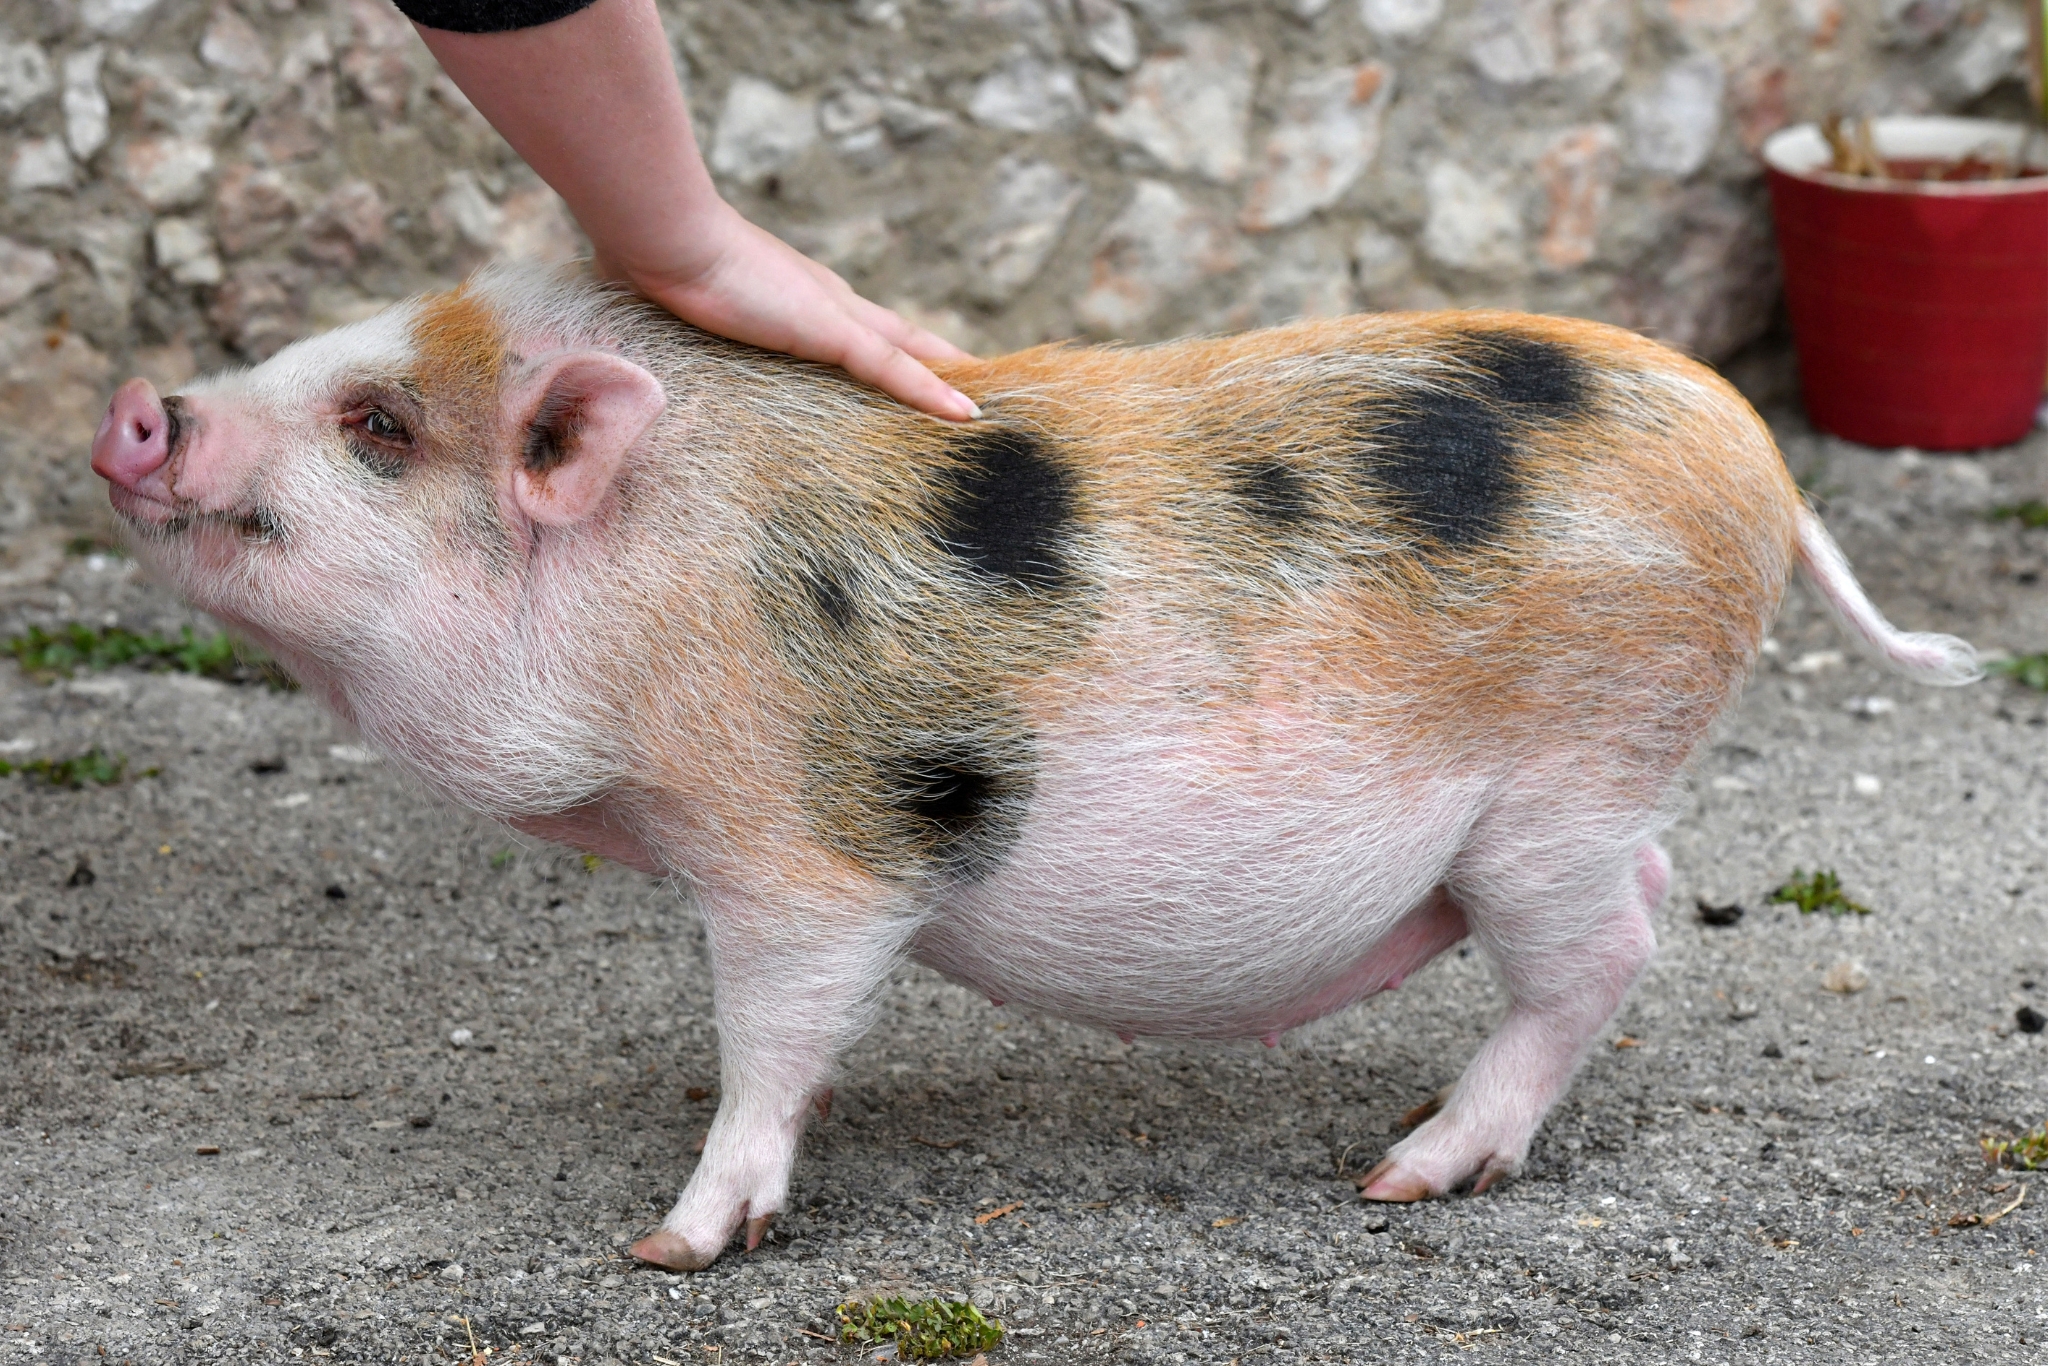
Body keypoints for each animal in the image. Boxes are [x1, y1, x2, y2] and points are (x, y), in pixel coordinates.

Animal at [89, 262, 1977, 1271]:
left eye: (381, 429)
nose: (137, 405)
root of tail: (1755, 457)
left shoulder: (805, 847)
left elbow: (773, 1034)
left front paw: (674, 1242)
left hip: (1567, 770)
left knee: (1610, 942)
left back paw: (1405, 1171)